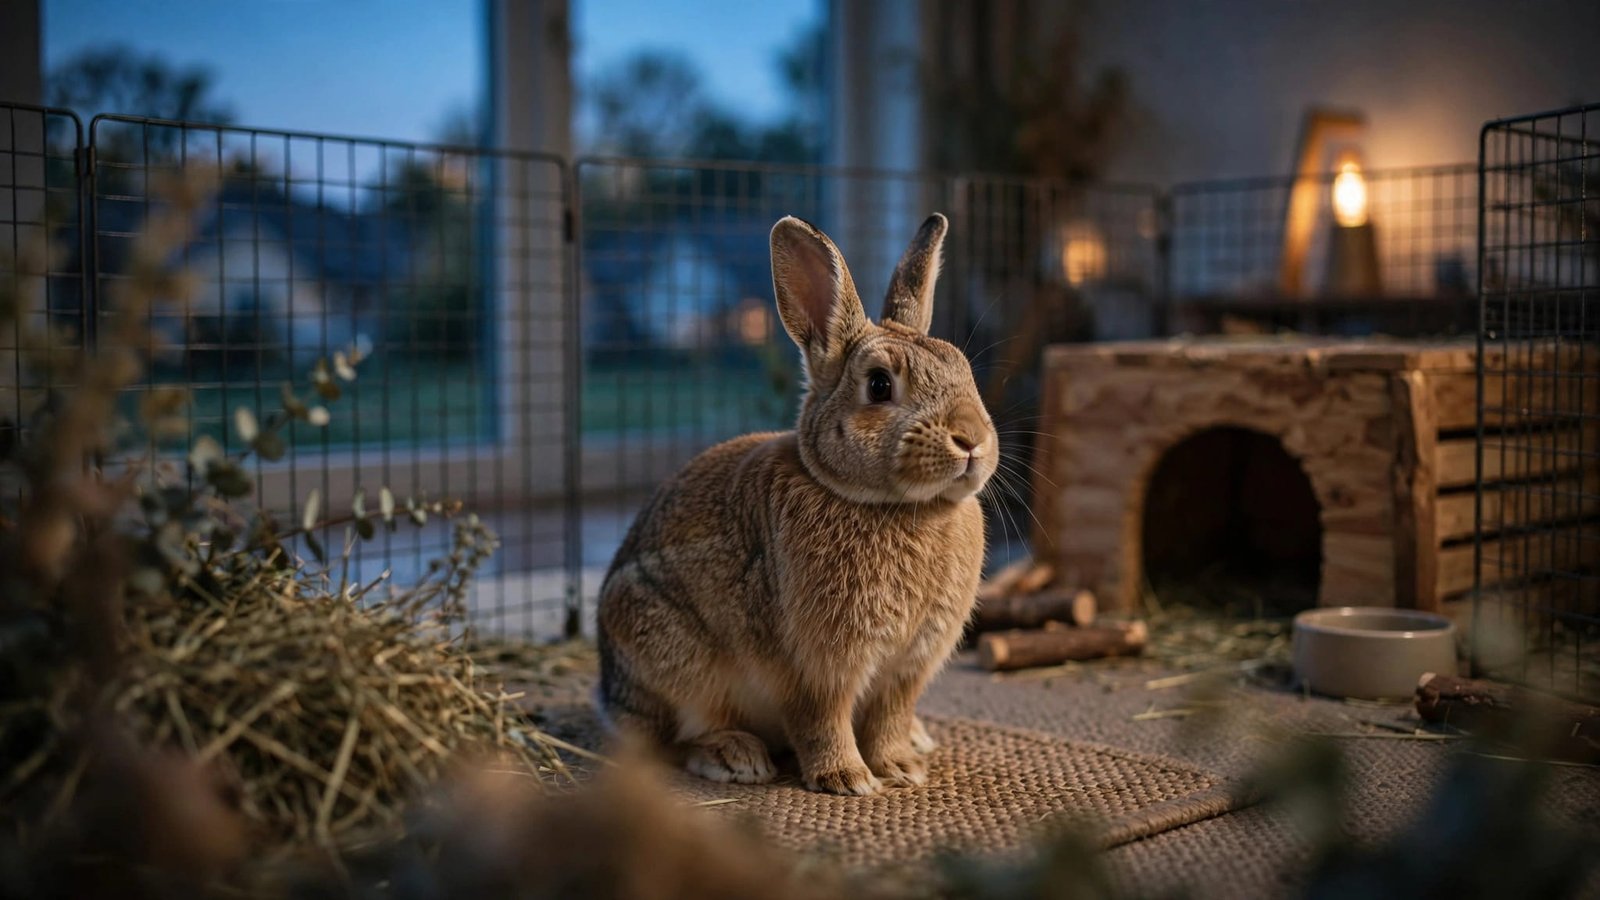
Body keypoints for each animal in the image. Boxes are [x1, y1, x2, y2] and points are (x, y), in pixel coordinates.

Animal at [596, 213, 996, 796]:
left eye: (964, 370)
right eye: (879, 385)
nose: (971, 440)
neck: (897, 507)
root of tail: (609, 694)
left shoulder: (907, 667)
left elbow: (890, 717)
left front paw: (901, 767)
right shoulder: (814, 667)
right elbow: (821, 720)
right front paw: (848, 779)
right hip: (668, 655)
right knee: (669, 740)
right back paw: (736, 757)